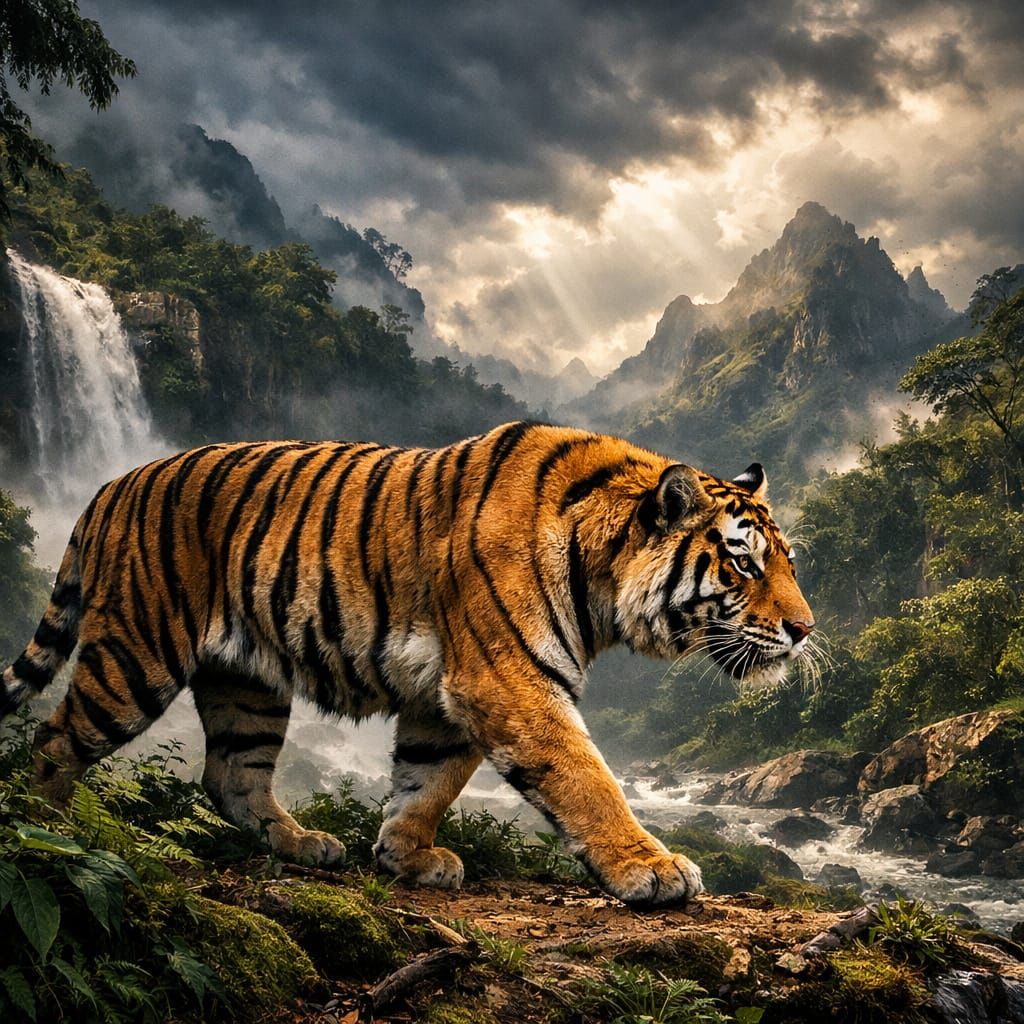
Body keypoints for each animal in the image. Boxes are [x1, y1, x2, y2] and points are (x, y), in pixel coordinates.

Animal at [1, 421, 813, 906]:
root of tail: (111, 484)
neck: (602, 577)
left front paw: (405, 857)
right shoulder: (509, 680)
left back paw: (304, 845)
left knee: (231, 774)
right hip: (136, 655)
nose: (805, 630)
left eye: (790, 563)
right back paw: (50, 830)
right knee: (53, 741)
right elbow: (586, 781)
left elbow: (427, 781)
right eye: (743, 563)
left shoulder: (449, 694)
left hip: (248, 682)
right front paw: (652, 867)